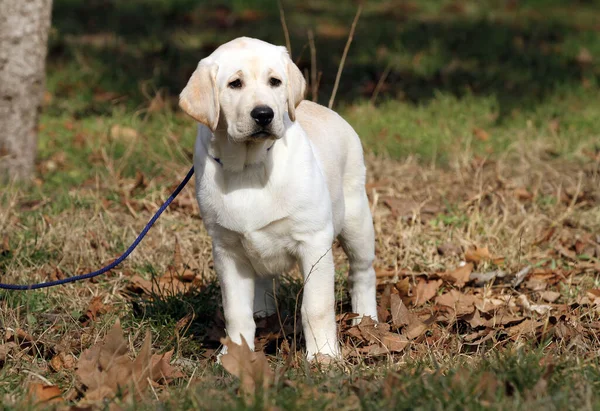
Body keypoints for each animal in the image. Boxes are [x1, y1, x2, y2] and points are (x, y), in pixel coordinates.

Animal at [179, 37, 376, 360]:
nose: (264, 114)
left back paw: (366, 320)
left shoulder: (314, 243)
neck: (249, 165)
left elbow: (316, 307)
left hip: (356, 219)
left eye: (275, 82)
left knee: (362, 272)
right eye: (234, 84)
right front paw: (235, 355)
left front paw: (323, 356)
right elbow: (236, 312)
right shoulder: (227, 250)